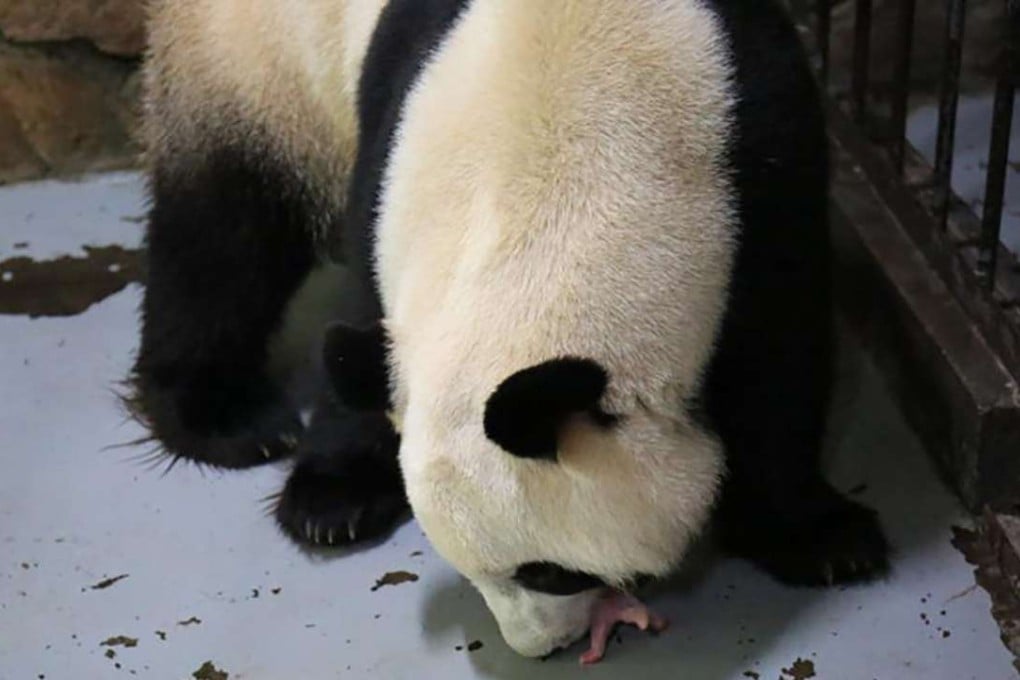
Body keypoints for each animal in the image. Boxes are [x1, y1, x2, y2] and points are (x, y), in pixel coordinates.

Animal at [132, 0, 890, 663]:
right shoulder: (389, 140)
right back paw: (227, 419)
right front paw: (331, 498)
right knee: (221, 233)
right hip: (252, 60)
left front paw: (822, 540)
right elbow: (364, 324)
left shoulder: (758, 140)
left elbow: (779, 358)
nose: (537, 648)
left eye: (549, 571)